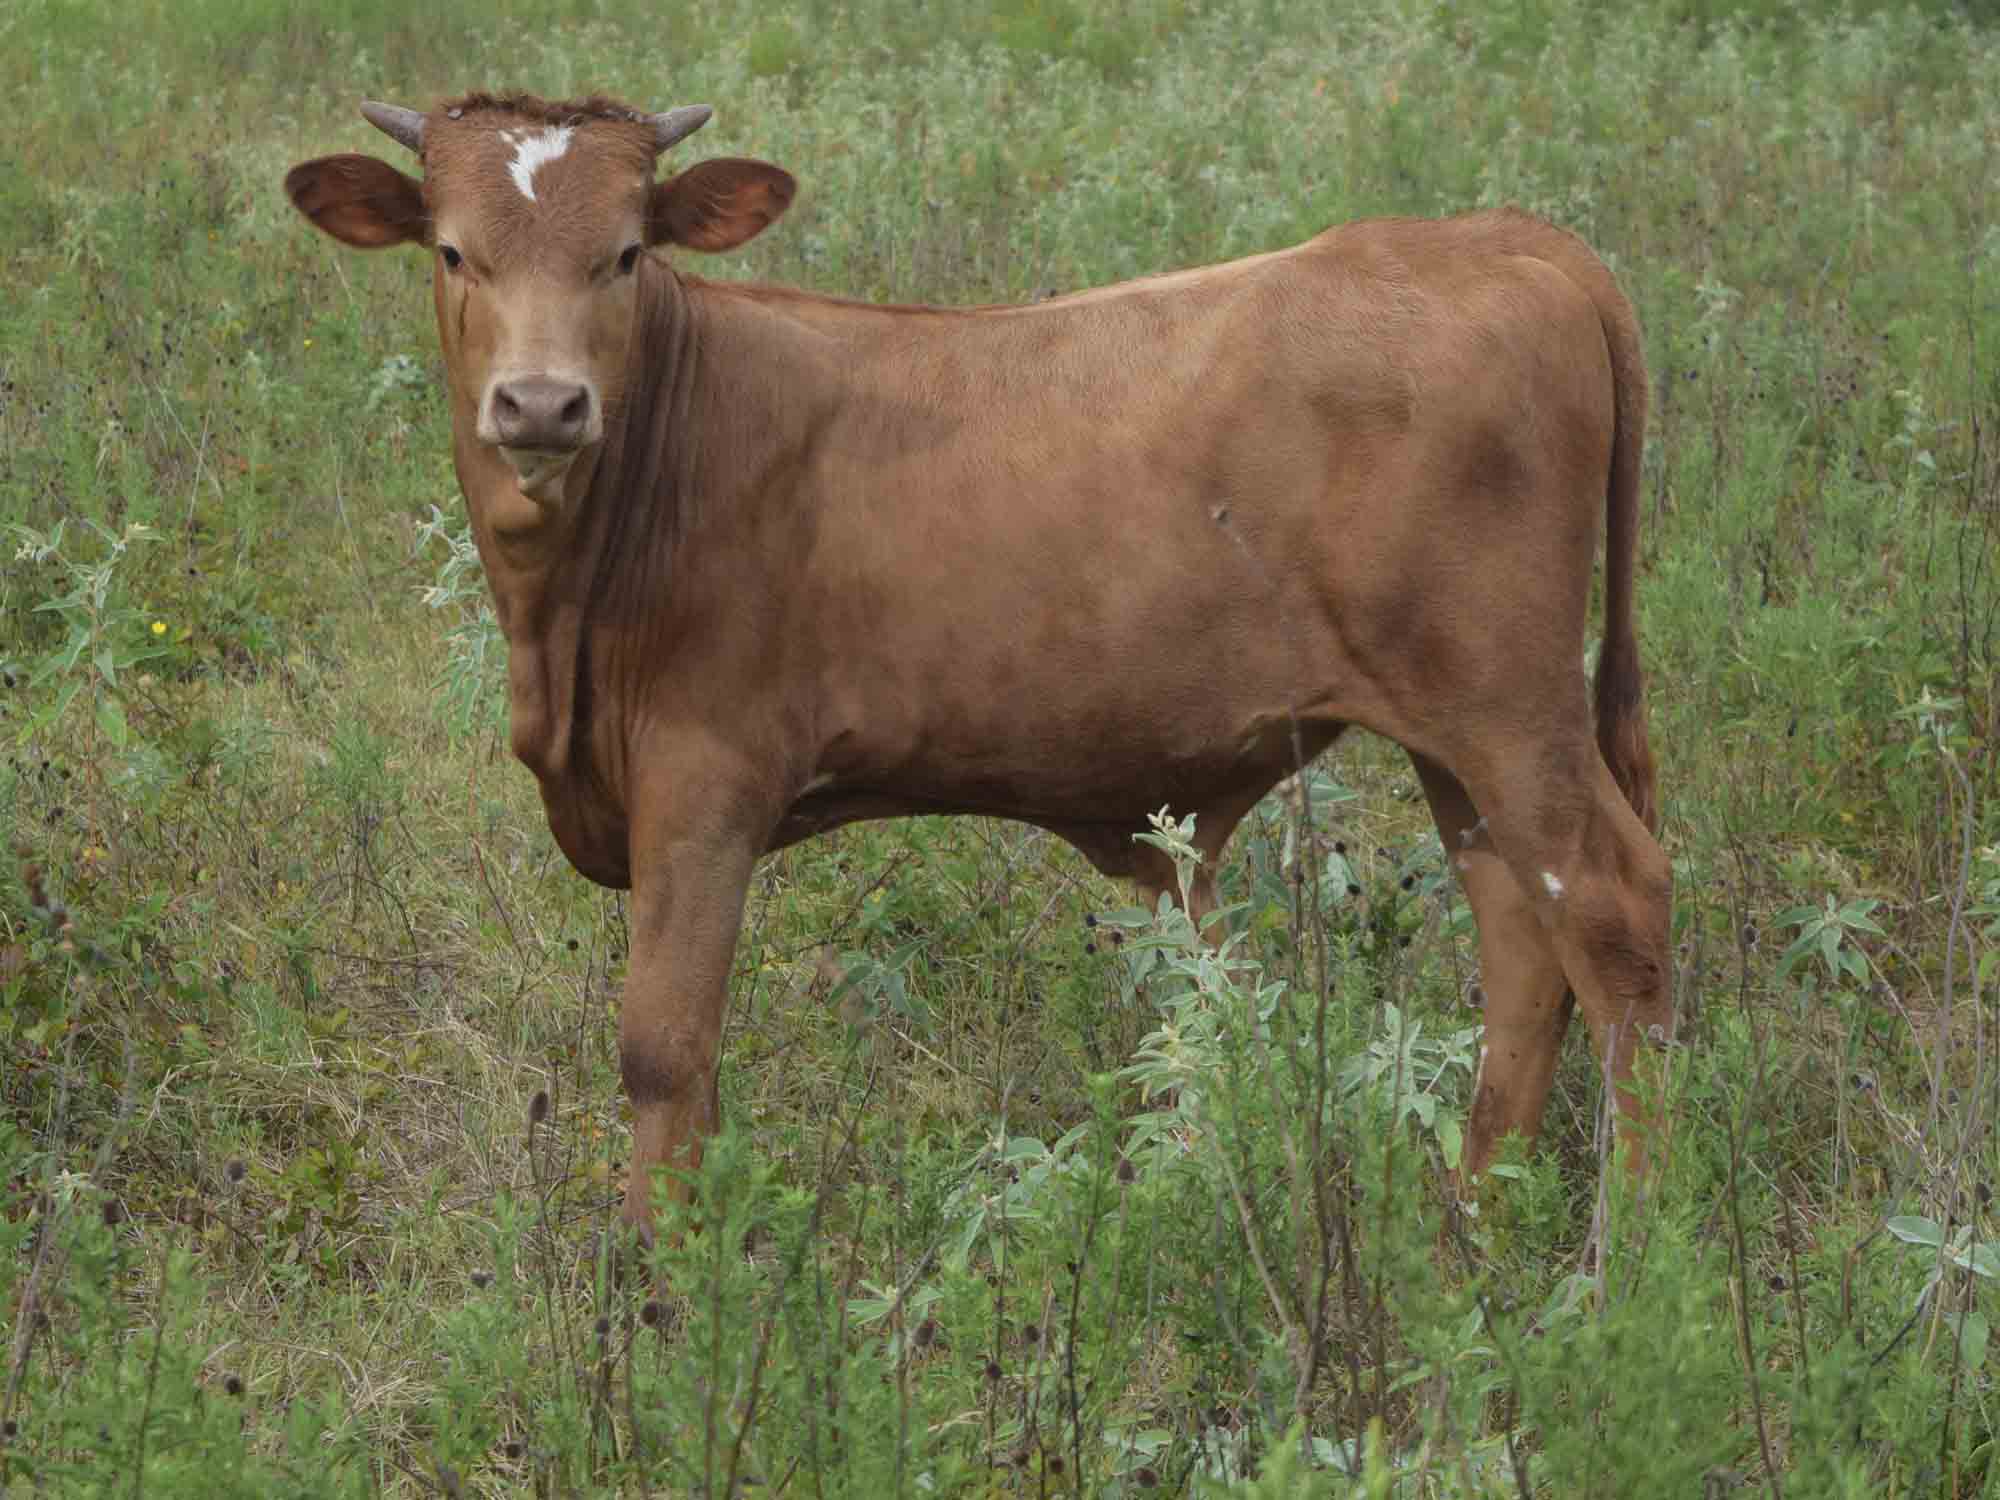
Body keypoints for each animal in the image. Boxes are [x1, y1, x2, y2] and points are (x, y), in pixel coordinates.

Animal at [284, 93, 1673, 1241]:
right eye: (450, 251)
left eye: (624, 252)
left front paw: (658, 1295)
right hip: (1454, 733)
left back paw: (1630, 1257)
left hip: (1505, 702)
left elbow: (663, 1048)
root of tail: (1494, 237)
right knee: (1519, 935)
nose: (540, 406)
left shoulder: (702, 782)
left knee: (1611, 915)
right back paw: (1474, 1229)